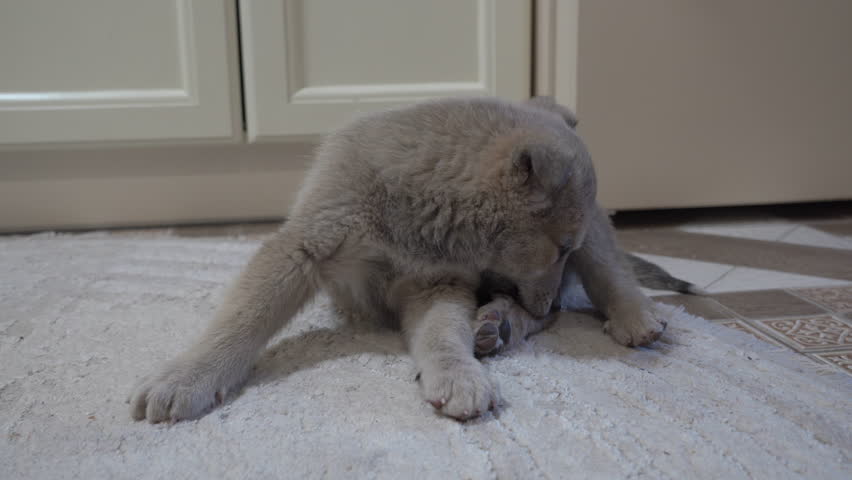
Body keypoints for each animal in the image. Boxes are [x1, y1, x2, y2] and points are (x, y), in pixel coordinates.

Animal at [129, 96, 697, 423]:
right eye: (558, 249)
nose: (544, 301)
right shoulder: (302, 247)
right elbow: (241, 319)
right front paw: (187, 378)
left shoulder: (435, 284)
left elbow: (443, 336)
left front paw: (457, 375)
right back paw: (501, 323)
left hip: (596, 232)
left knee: (607, 275)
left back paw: (621, 317)